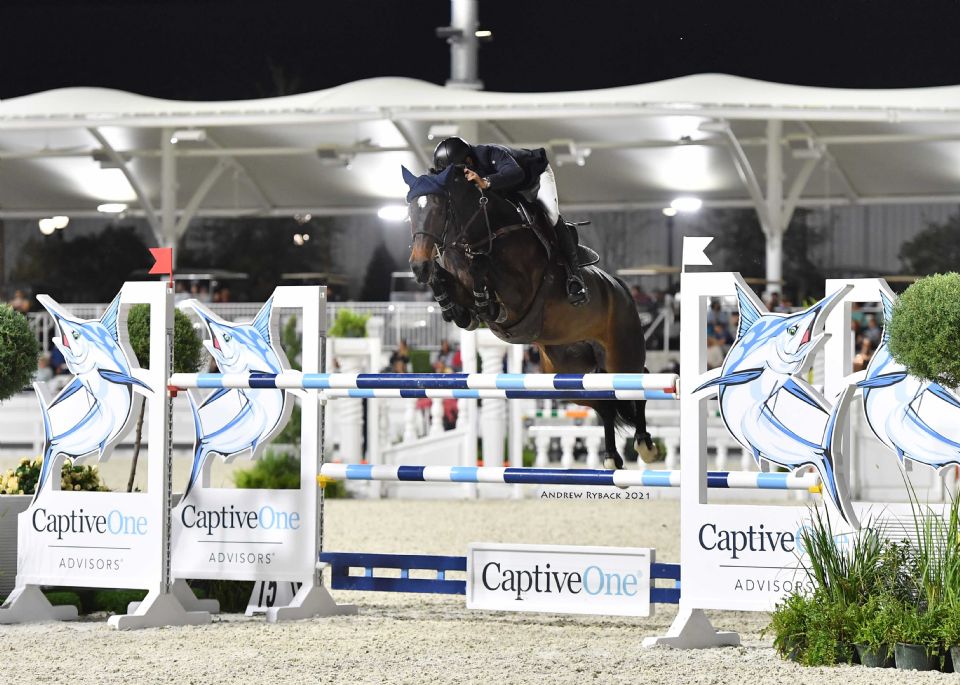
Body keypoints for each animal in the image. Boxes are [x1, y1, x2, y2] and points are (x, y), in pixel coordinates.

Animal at [403, 164, 658, 469]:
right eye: (410, 210)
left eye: (439, 208)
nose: (418, 266)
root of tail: (622, 288)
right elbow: (454, 297)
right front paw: (445, 295)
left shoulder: (519, 295)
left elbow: (483, 271)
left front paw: (481, 285)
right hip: (570, 375)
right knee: (604, 401)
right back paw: (610, 456)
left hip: (621, 356)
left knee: (640, 381)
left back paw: (645, 445)